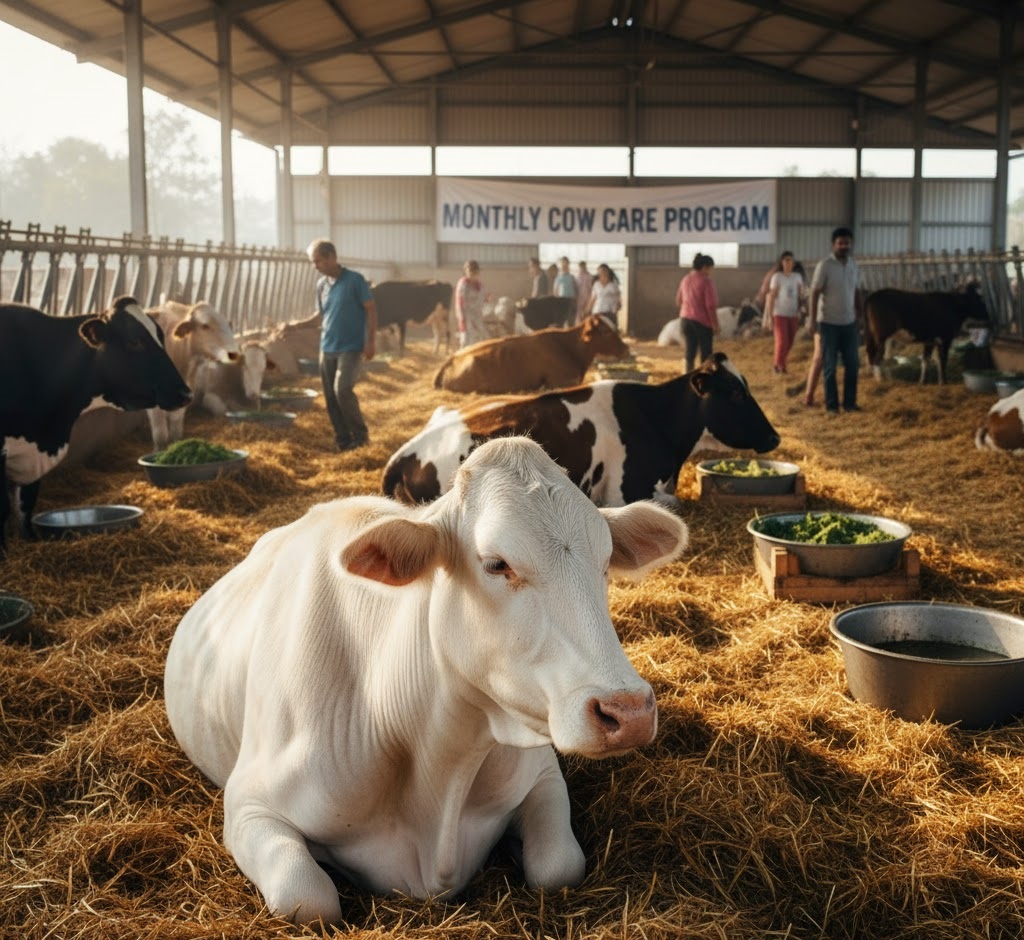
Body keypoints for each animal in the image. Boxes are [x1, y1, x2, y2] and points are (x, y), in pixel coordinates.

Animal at [163, 436, 688, 925]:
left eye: (605, 562)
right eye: (496, 564)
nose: (629, 710)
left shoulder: (541, 775)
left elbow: (559, 865)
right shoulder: (249, 804)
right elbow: (308, 898)